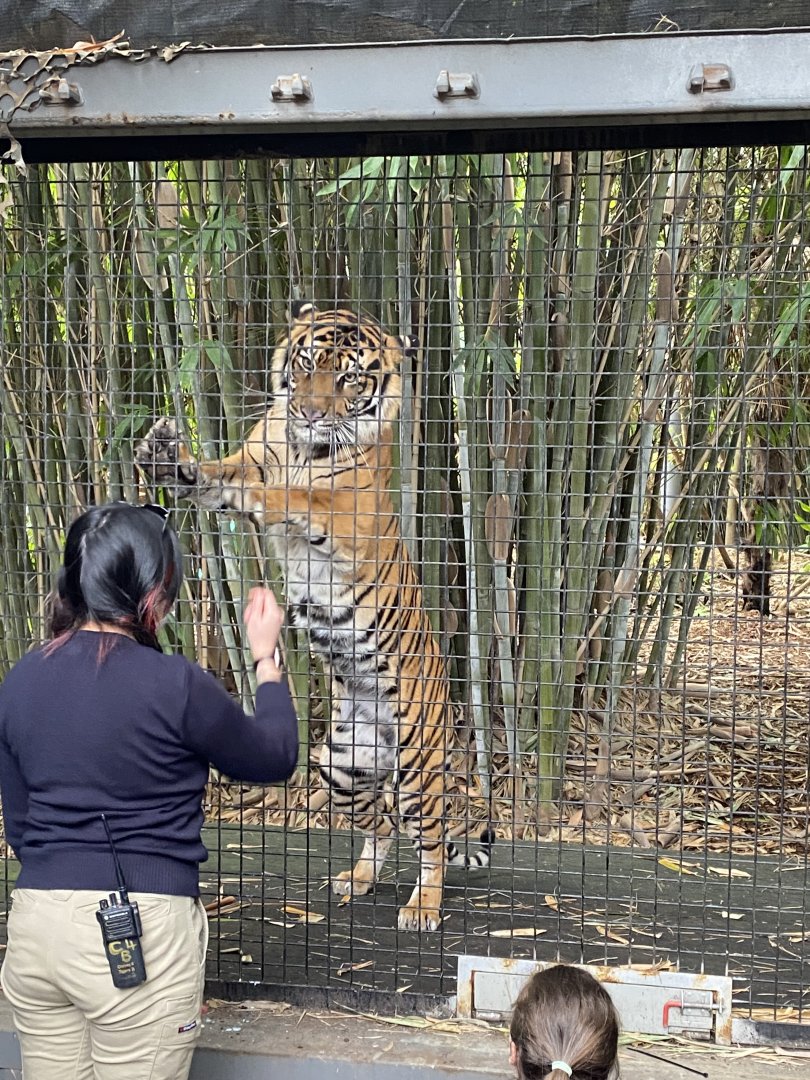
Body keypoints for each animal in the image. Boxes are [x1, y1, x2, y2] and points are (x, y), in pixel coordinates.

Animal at [135, 301, 492, 931]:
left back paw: (422, 906)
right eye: (306, 364)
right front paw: (171, 458)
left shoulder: (347, 515)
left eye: (350, 379)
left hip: (419, 765)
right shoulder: (251, 457)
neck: (301, 447)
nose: (308, 412)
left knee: (430, 842)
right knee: (381, 826)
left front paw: (274, 495)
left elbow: (299, 497)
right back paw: (357, 879)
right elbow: (219, 476)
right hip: (341, 766)